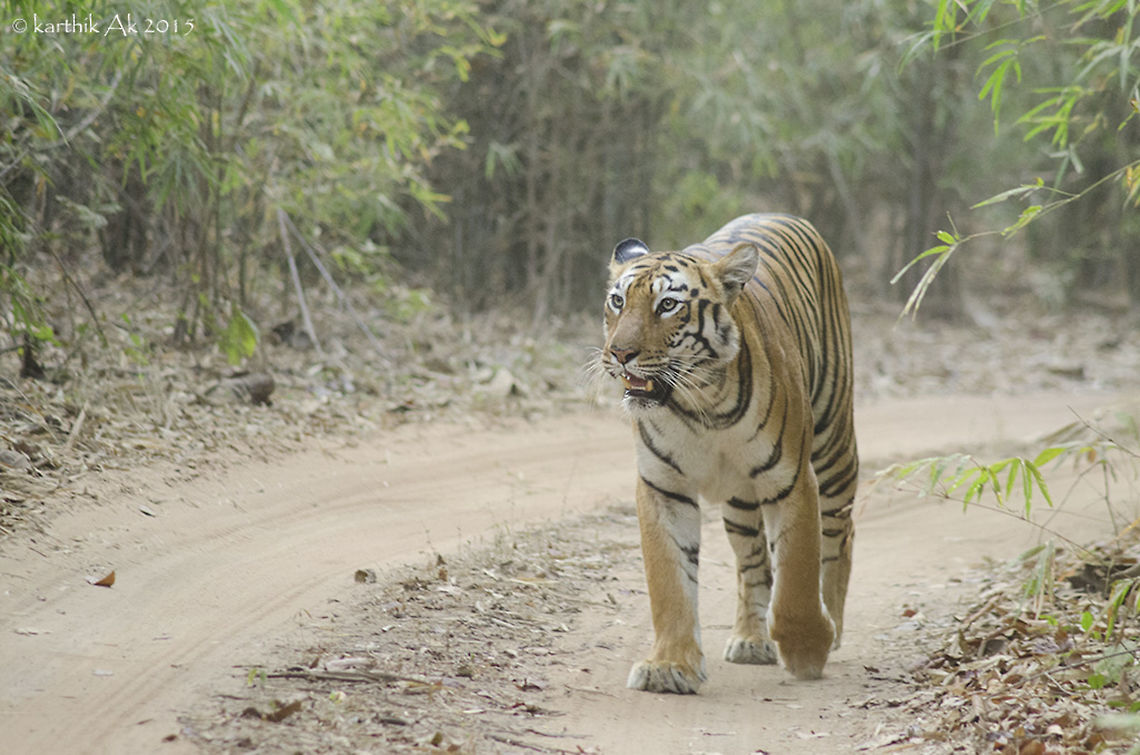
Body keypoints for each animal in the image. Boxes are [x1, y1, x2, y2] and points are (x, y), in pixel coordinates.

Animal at [600, 213, 858, 693]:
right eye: (617, 301)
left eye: (667, 305)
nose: (620, 354)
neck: (701, 404)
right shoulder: (663, 487)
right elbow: (670, 582)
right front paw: (669, 666)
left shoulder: (791, 480)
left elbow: (797, 573)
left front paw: (807, 648)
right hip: (740, 501)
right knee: (753, 563)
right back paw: (752, 639)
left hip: (834, 448)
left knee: (839, 539)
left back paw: (831, 625)